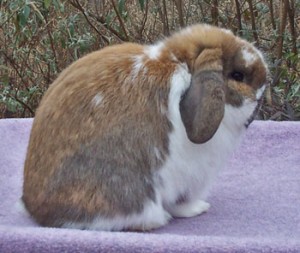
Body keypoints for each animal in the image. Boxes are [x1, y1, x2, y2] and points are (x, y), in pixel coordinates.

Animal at [22, 23, 268, 231]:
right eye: (238, 75)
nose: (264, 86)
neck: (181, 65)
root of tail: (38, 211)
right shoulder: (188, 175)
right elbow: (180, 202)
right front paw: (198, 208)